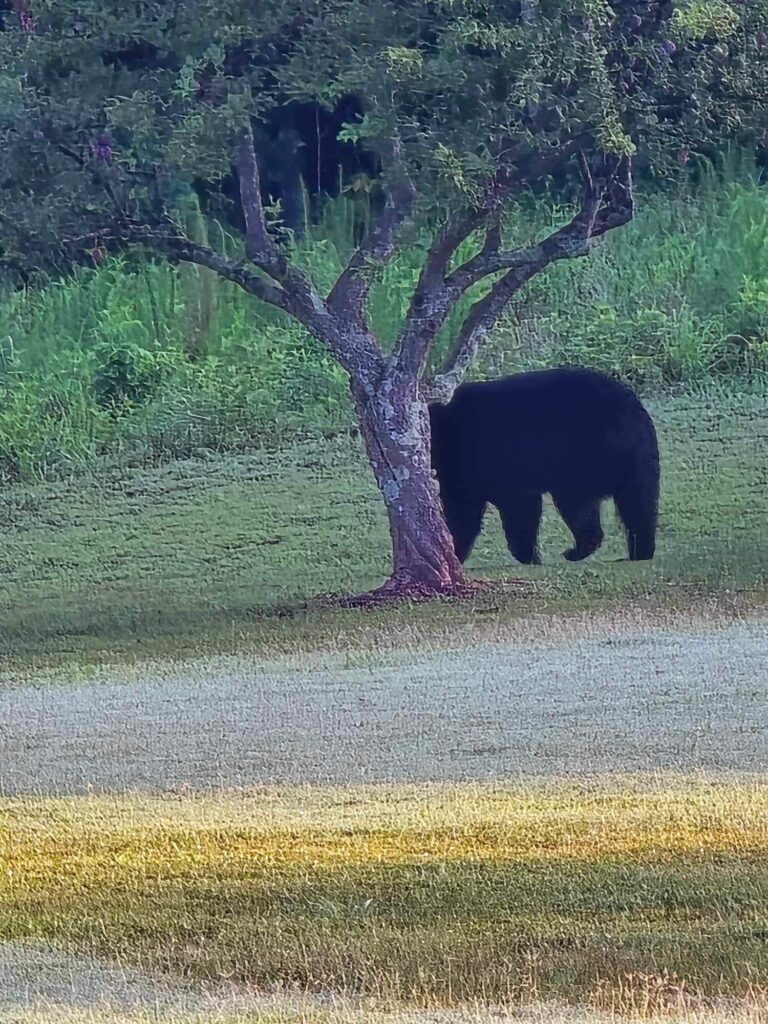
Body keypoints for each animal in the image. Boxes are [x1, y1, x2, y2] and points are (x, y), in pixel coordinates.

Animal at [428, 367, 660, 565]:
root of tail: (633, 409)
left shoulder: (489, 458)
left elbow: (514, 506)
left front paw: (528, 556)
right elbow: (463, 508)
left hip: (582, 456)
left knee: (580, 505)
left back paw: (576, 551)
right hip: (636, 460)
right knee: (638, 503)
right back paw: (641, 551)